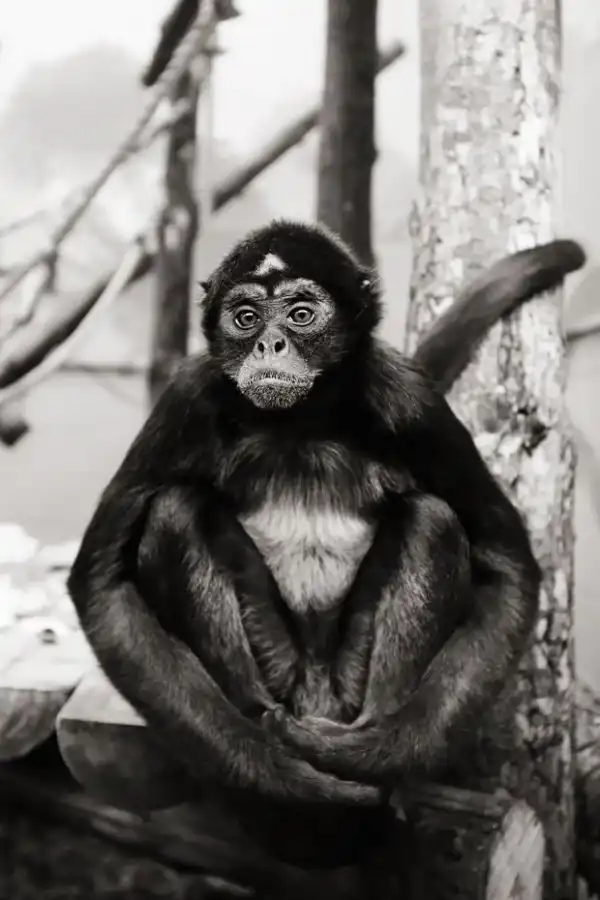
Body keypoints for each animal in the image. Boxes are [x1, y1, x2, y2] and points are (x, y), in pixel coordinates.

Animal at [67, 220, 585, 876]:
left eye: (301, 314)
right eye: (245, 318)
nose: (270, 346)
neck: (300, 423)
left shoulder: (408, 397)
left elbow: (509, 567)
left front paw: (372, 758)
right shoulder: (188, 396)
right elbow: (100, 582)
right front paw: (277, 774)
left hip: (346, 680)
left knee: (433, 519)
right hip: (280, 668)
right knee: (175, 511)